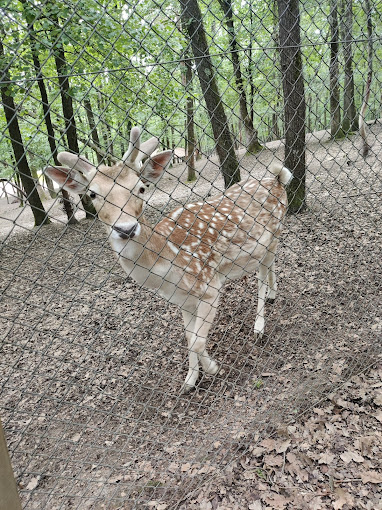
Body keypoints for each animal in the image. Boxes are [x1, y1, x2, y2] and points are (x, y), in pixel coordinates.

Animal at [46, 128, 292, 394]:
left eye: (141, 188)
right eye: (92, 194)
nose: (126, 229)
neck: (168, 270)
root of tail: (278, 179)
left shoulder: (209, 286)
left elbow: (196, 341)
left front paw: (214, 369)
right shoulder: (182, 300)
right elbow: (189, 338)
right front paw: (190, 380)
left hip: (275, 233)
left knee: (261, 276)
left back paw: (259, 327)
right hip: (267, 245)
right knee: (269, 265)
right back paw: (273, 295)